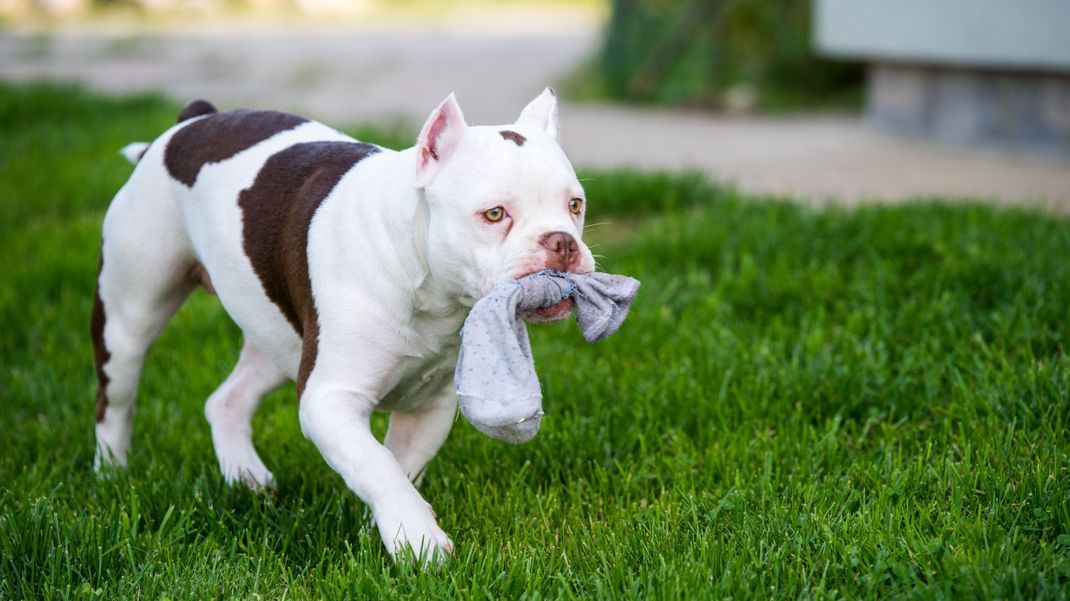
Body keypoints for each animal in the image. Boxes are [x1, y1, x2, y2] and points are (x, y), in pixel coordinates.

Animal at [89, 86, 594, 560]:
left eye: (575, 206)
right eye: (494, 214)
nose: (562, 242)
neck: (427, 287)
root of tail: (192, 121)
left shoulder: (427, 409)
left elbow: (396, 465)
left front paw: (386, 535)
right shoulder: (329, 401)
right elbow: (378, 467)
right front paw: (421, 545)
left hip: (280, 338)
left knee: (227, 400)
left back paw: (246, 476)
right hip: (128, 316)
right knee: (116, 399)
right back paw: (112, 473)